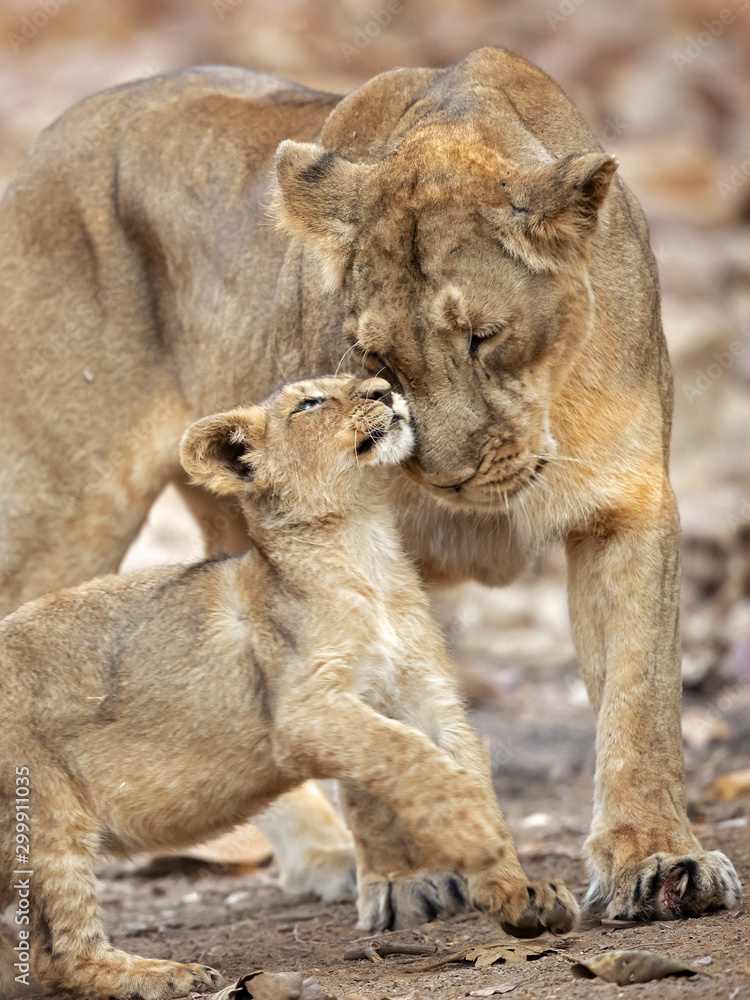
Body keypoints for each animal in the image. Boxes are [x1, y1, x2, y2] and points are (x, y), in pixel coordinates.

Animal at [0, 47, 741, 928]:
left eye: (483, 336)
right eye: (377, 358)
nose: (449, 475)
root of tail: (53, 138)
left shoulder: (627, 506)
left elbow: (642, 697)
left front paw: (659, 859)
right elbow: (369, 735)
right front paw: (408, 874)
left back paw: (317, 855)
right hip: (61, 518)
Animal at [0, 375, 579, 1000]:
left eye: (363, 382)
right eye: (310, 403)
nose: (385, 388)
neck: (364, 545)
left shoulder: (429, 698)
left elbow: (464, 767)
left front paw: (519, 891)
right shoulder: (302, 710)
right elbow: (409, 755)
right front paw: (473, 832)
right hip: (46, 803)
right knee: (61, 952)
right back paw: (165, 974)